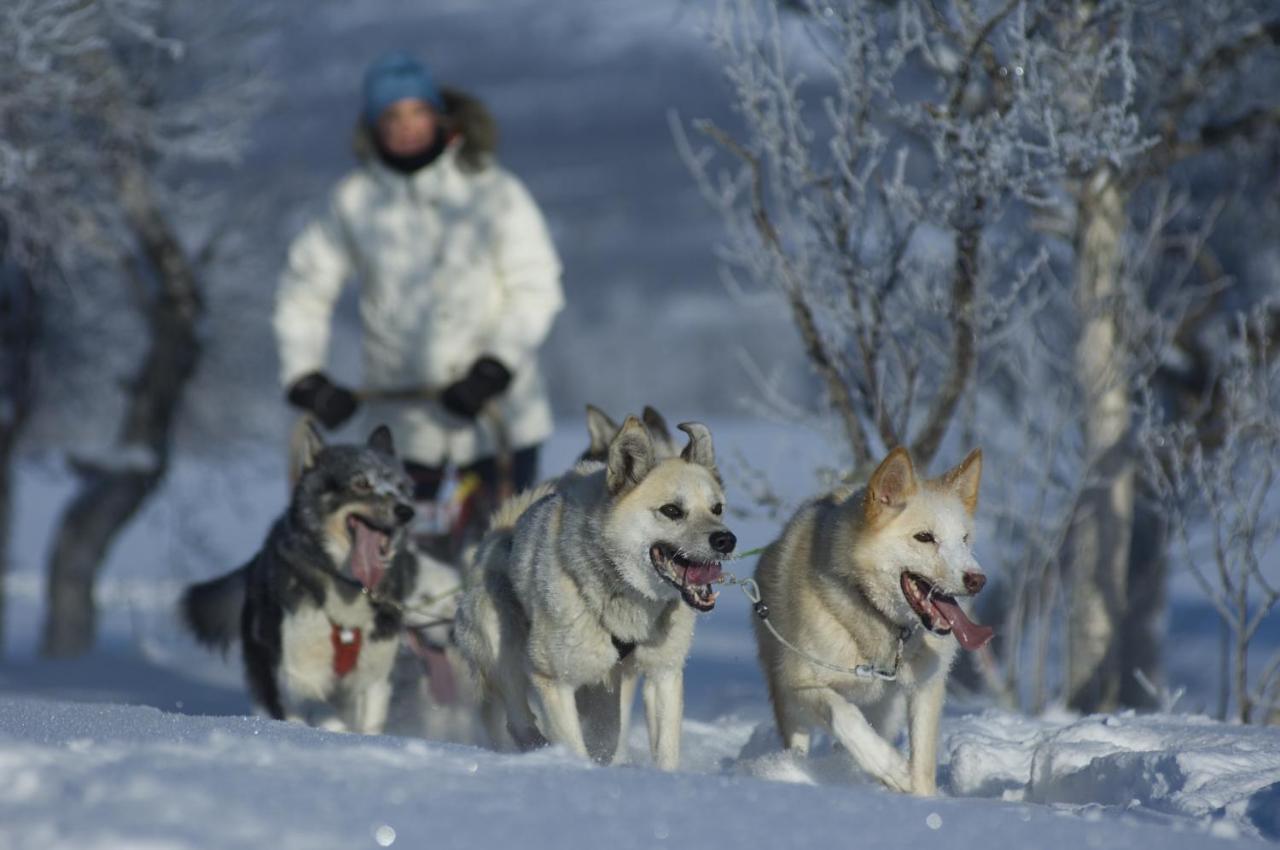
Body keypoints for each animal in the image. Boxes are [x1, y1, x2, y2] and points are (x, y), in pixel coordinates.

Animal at [453, 417, 737, 768]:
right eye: (672, 510)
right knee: (519, 721)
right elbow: (571, 744)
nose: (726, 540)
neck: (622, 593)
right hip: (500, 642)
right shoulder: (554, 680)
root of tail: (497, 537)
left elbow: (665, 748)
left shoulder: (663, 674)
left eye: (717, 508)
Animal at [747, 448, 988, 793]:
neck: (879, 620)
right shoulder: (799, 681)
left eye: (965, 539)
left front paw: (919, 793)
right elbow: (844, 715)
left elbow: (923, 764)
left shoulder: (925, 689)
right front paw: (892, 767)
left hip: (886, 710)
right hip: (790, 704)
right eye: (924, 537)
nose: (977, 580)